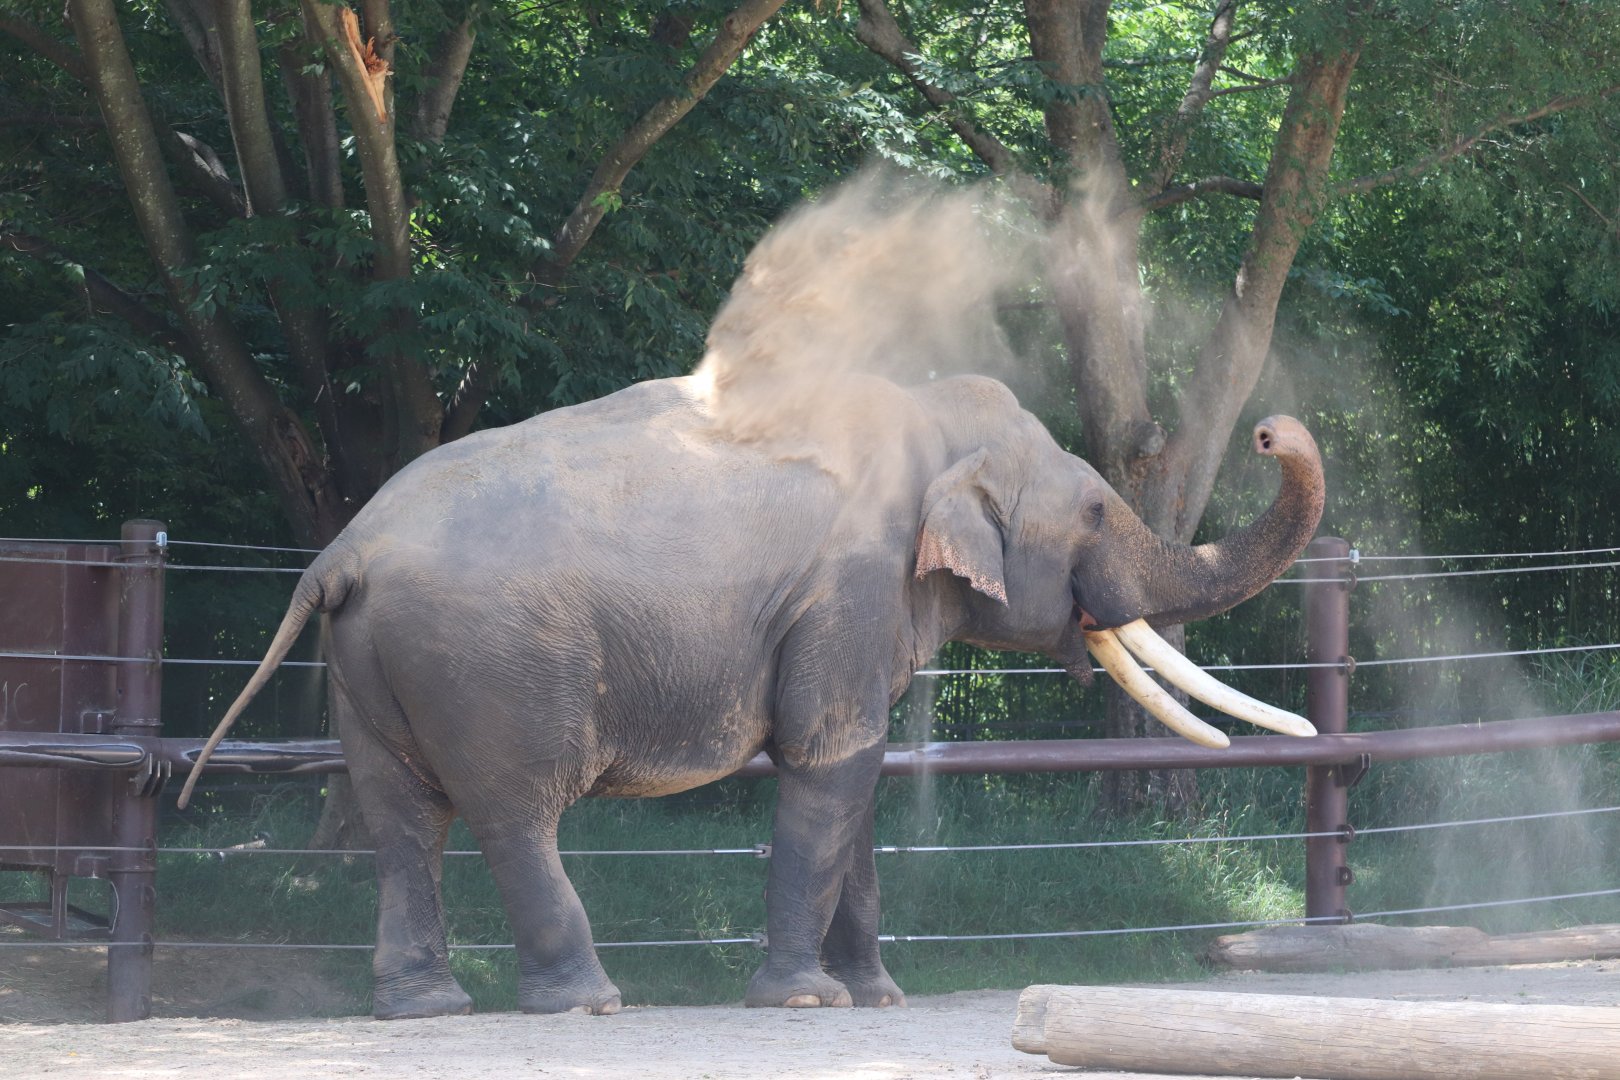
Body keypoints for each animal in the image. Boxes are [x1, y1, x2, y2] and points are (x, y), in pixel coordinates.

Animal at [182, 369, 1323, 1020]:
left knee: (402, 820)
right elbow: (832, 762)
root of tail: (342, 551)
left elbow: (854, 783)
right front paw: (809, 1002)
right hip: (492, 665)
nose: (1272, 431)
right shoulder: (848, 591)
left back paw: (425, 1012)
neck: (927, 422)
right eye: (1093, 509)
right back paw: (587, 1006)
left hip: (372, 666)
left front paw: (876, 1000)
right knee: (513, 811)